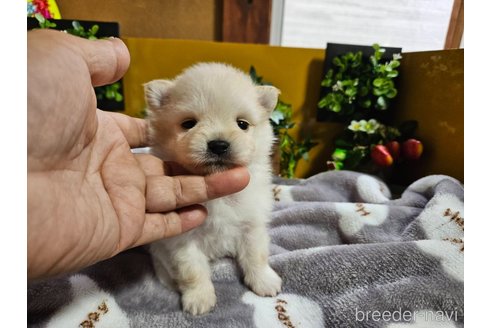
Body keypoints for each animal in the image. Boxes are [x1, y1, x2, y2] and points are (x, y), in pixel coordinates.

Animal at [143, 62, 280, 316]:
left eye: (242, 124)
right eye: (188, 124)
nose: (218, 145)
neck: (221, 198)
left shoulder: (252, 224)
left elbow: (256, 255)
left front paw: (264, 281)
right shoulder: (182, 238)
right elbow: (192, 271)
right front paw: (199, 298)